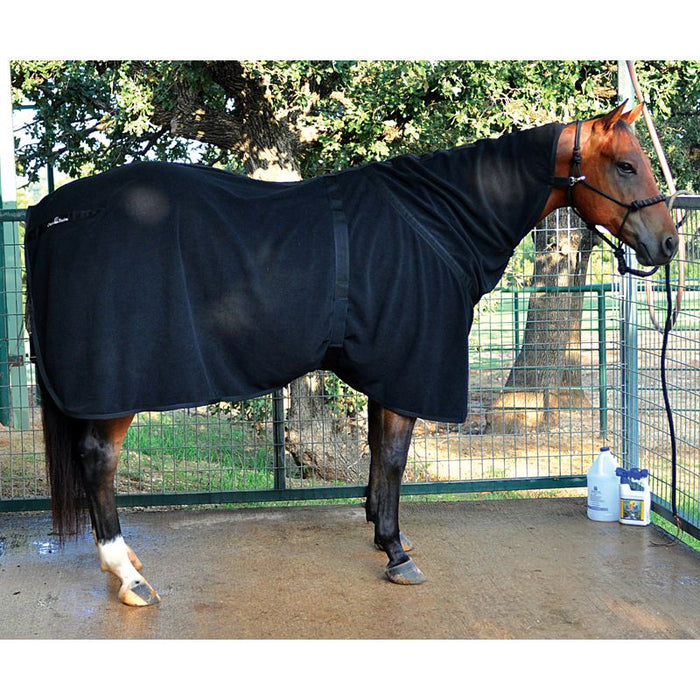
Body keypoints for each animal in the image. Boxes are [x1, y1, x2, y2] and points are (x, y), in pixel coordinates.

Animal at [24, 102, 678, 606]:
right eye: (625, 164)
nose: (668, 243)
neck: (435, 222)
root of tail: (51, 212)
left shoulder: (388, 370)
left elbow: (376, 456)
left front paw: (383, 533)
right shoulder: (410, 370)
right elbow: (393, 459)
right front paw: (395, 552)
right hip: (115, 389)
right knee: (98, 461)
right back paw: (127, 574)